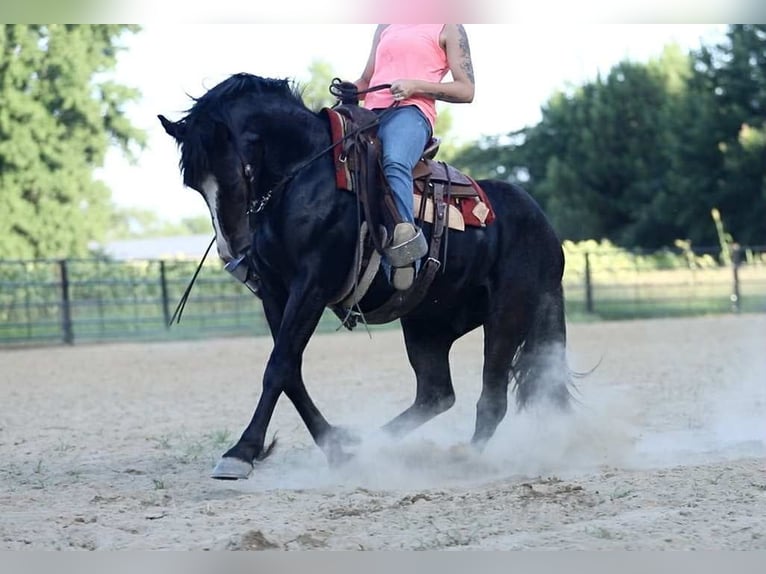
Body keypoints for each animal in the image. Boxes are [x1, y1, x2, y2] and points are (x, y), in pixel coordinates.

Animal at [159, 73, 573, 480]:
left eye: (233, 174)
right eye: (195, 185)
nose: (233, 251)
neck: (304, 176)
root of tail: (545, 227)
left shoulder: (312, 285)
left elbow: (277, 367)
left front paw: (241, 452)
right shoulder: (276, 292)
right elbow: (289, 368)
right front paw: (336, 446)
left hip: (507, 317)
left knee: (492, 399)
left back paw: (464, 458)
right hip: (429, 324)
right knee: (436, 393)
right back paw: (370, 444)